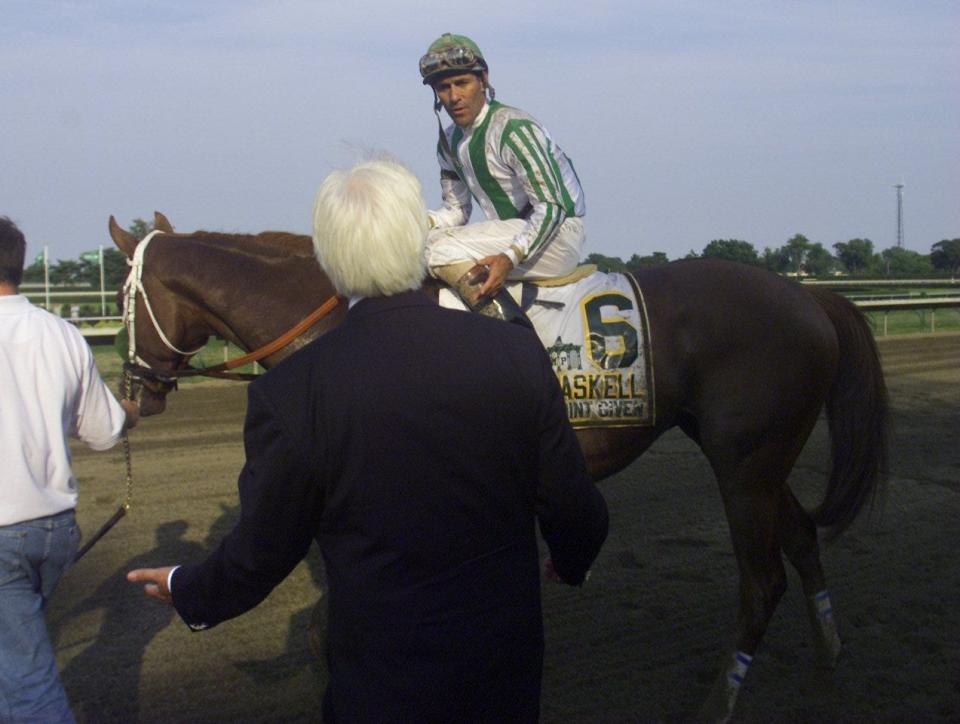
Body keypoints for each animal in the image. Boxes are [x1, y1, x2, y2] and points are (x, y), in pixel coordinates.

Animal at [110, 212, 884, 720]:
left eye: (123, 299)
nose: (133, 389)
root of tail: (806, 294)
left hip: (744, 463)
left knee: (761, 581)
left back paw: (718, 704)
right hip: (755, 457)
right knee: (803, 540)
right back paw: (830, 657)